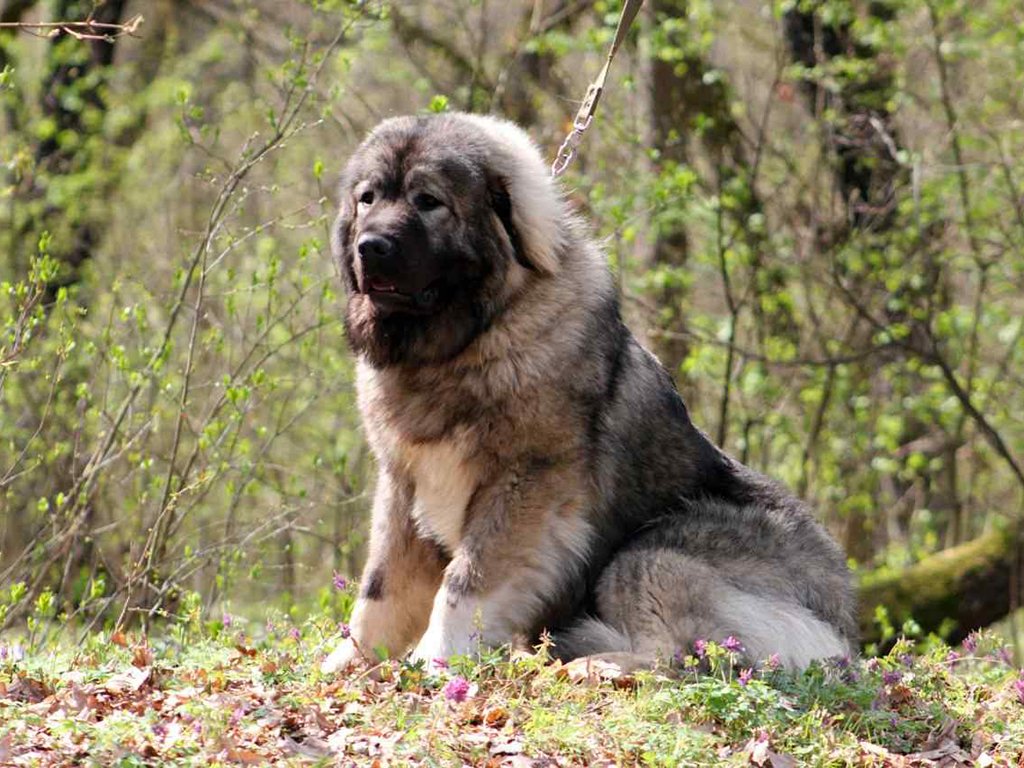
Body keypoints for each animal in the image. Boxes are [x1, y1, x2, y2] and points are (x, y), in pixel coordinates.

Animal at [321, 112, 856, 671]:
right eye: (368, 198)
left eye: (428, 201)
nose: (371, 247)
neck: (465, 344)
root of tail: (840, 630)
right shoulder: (404, 483)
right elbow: (380, 586)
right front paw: (349, 660)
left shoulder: (523, 486)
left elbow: (465, 580)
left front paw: (437, 658)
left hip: (650, 553)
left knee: (671, 655)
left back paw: (593, 664)